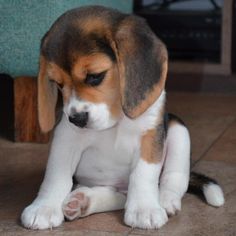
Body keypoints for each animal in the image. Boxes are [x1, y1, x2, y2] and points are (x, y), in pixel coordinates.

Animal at [20, 5, 225, 230]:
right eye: (58, 84)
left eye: (95, 76)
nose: (77, 119)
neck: (117, 119)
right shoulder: (66, 138)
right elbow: (56, 175)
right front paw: (44, 208)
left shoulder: (150, 135)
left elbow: (143, 174)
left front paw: (145, 209)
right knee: (117, 196)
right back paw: (83, 201)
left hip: (178, 129)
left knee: (175, 179)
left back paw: (164, 200)